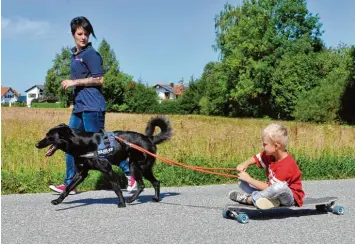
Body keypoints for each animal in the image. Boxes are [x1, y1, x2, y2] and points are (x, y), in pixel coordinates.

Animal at [35, 116, 172, 207]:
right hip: (143, 168)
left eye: (49, 136)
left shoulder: (107, 170)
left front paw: (122, 203)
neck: (81, 143)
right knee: (156, 182)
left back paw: (131, 200)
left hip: (136, 166)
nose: (36, 144)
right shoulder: (81, 173)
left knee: (142, 184)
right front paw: (58, 200)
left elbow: (116, 188)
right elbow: (68, 188)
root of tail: (150, 139)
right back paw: (156, 198)